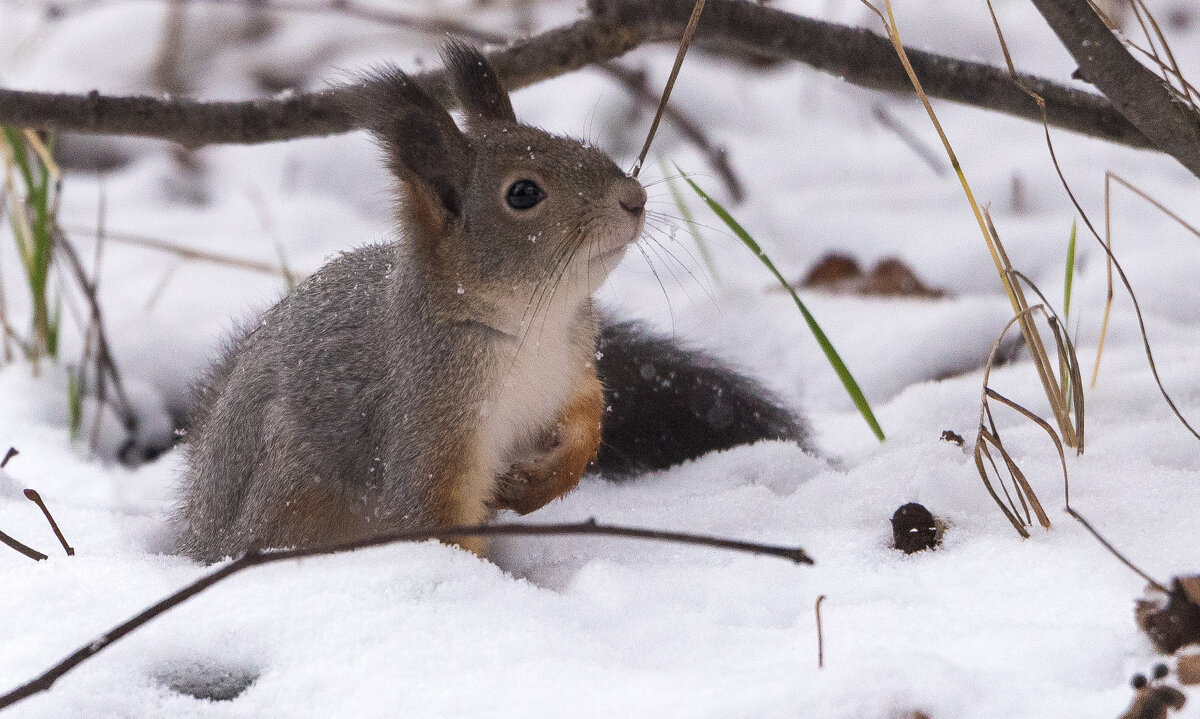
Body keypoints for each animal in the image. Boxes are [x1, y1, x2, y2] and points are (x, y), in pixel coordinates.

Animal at [171, 42, 806, 566]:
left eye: (573, 142)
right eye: (523, 193)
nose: (634, 198)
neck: (529, 325)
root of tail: (200, 529)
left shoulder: (572, 370)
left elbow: (587, 423)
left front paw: (533, 484)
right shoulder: (426, 424)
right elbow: (437, 523)